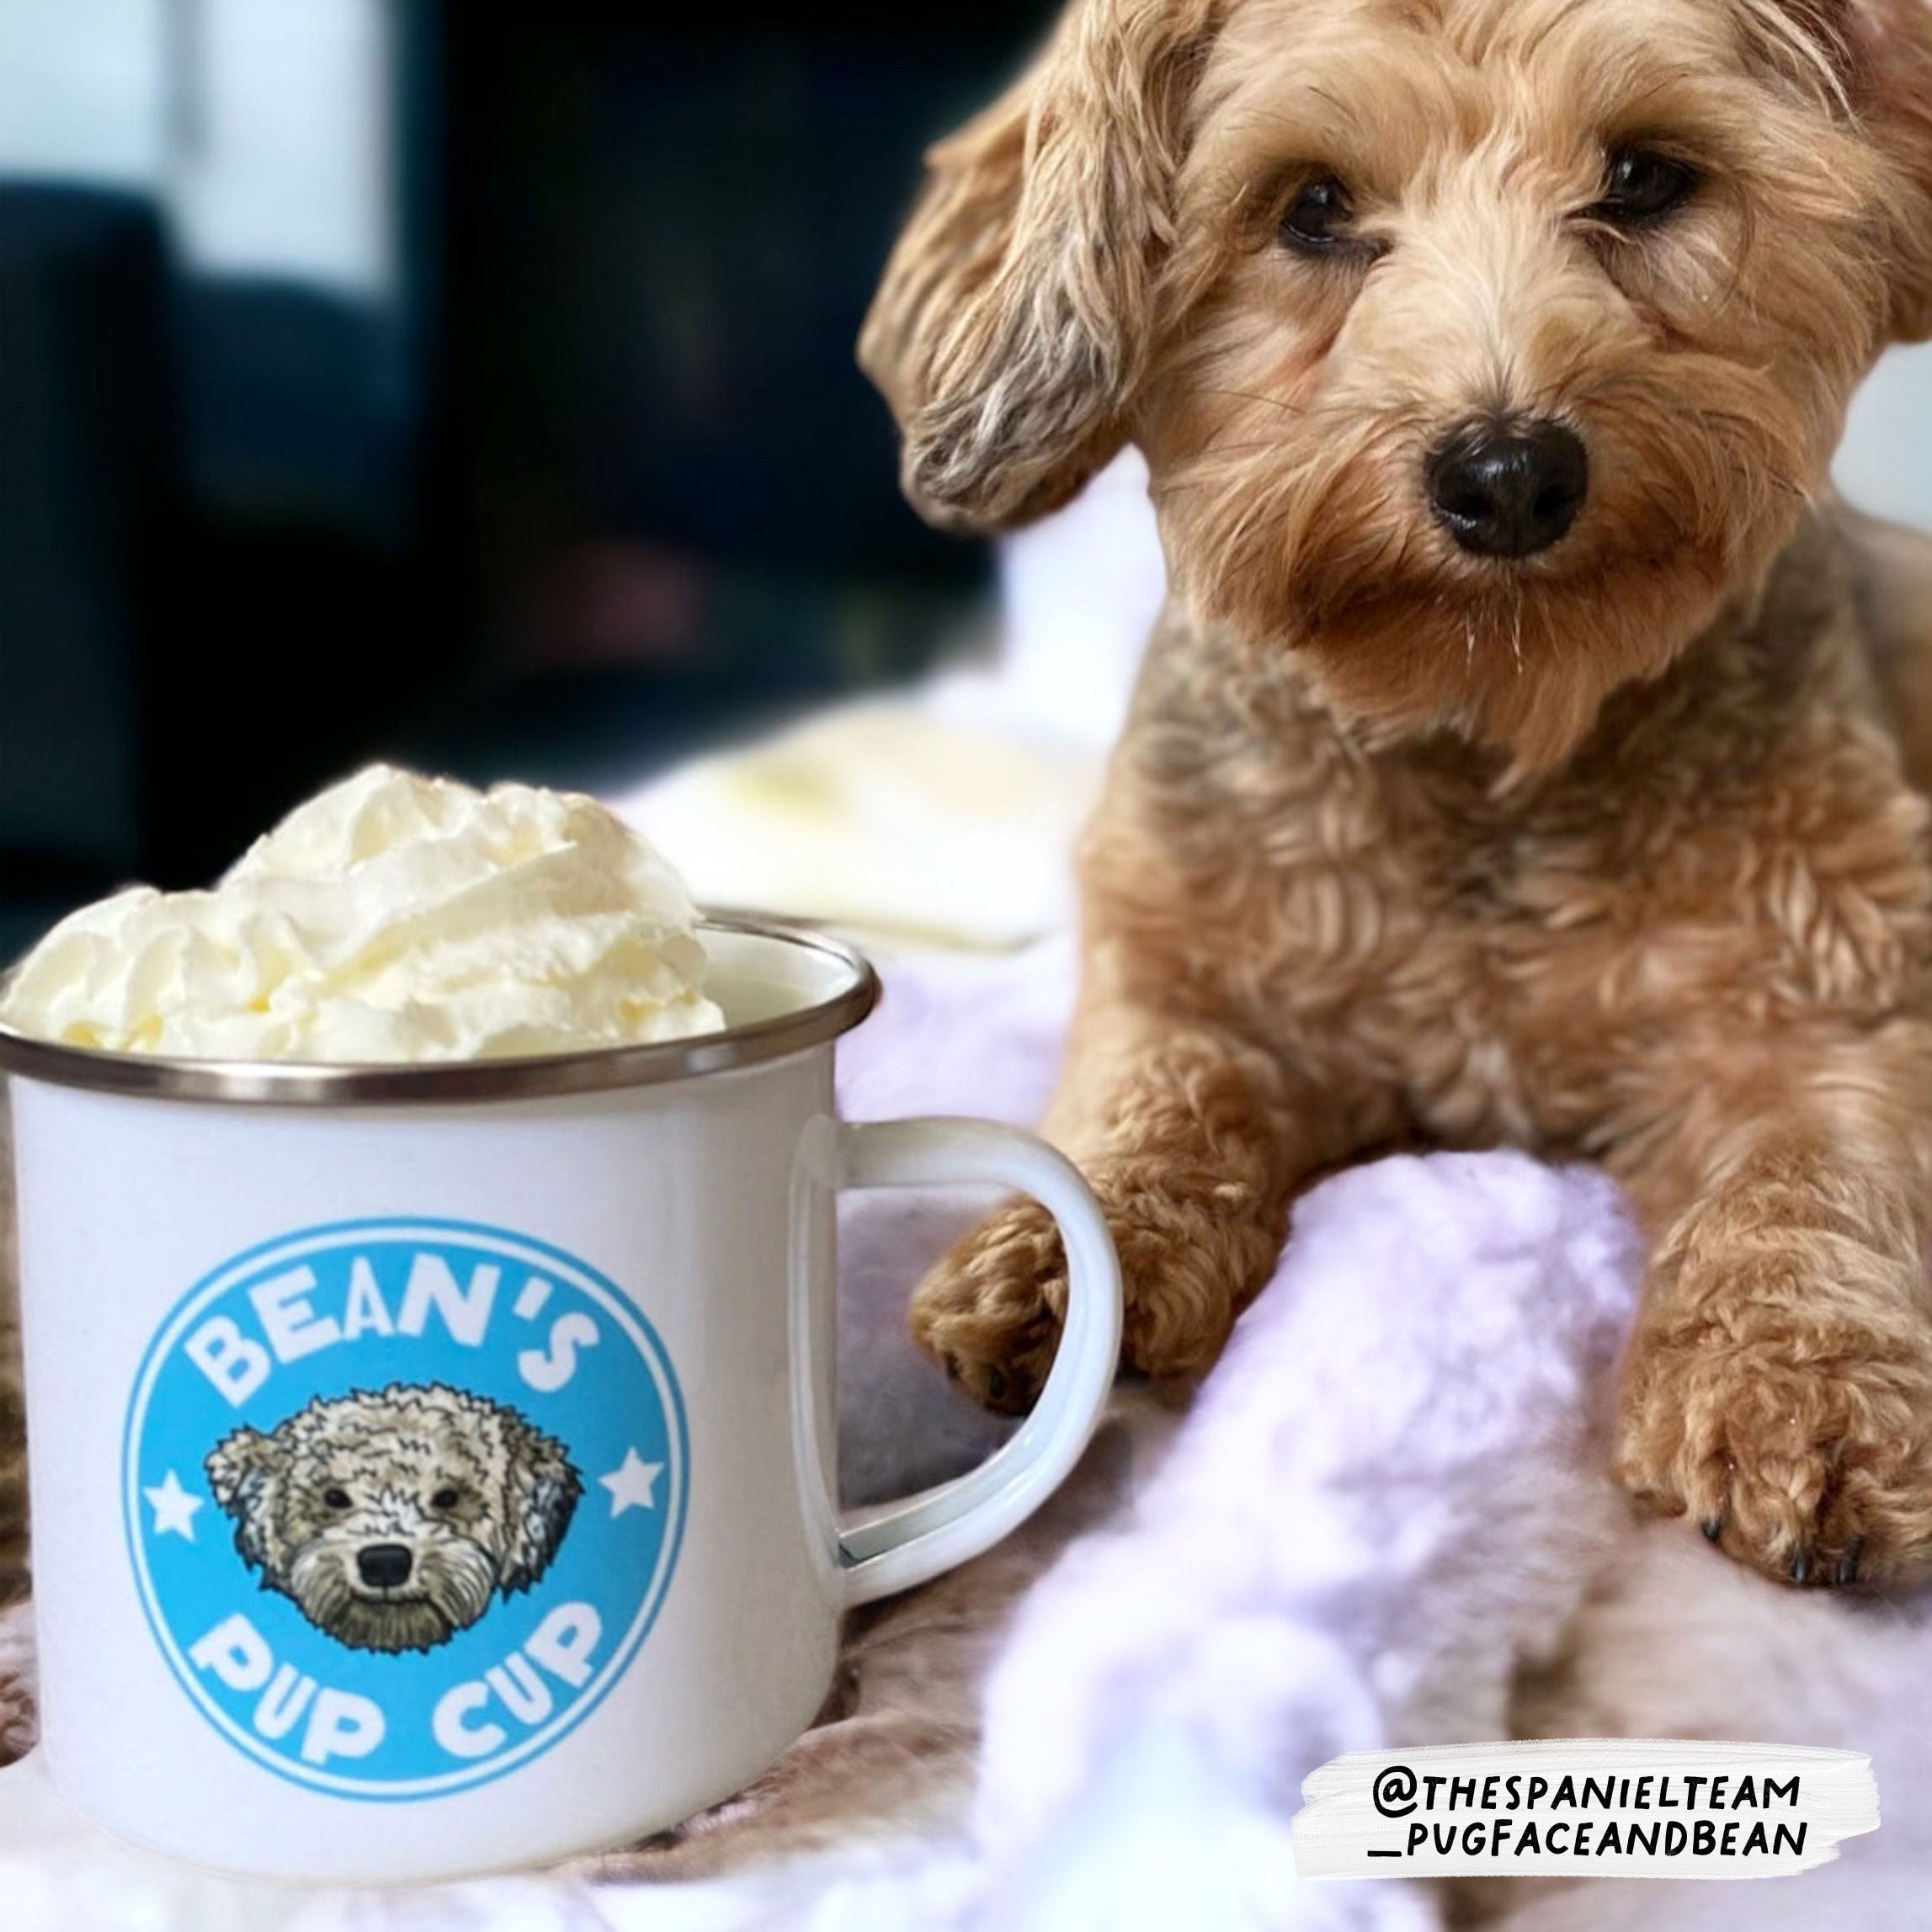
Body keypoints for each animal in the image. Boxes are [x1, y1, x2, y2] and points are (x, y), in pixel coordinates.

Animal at [861, 0, 1932, 1592]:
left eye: (1643, 175)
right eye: (1310, 202)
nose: (1510, 473)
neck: (1478, 737)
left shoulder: (1819, 1007)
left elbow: (1803, 1184)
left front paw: (1795, 1397)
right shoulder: (1180, 970)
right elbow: (1146, 1103)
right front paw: (1059, 1268)